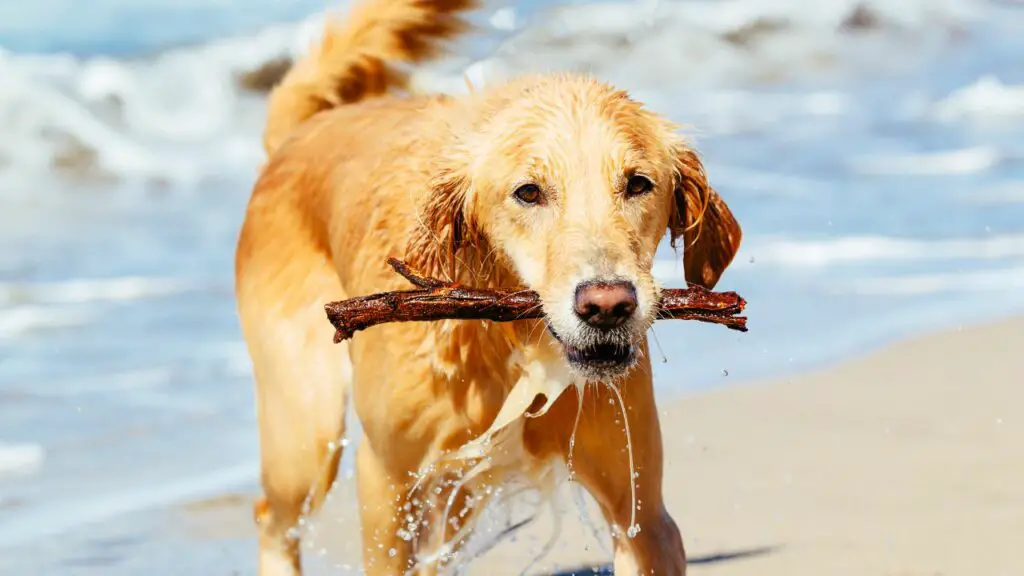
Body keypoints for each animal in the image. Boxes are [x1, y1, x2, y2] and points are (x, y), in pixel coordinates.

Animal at [234, 0, 741, 569]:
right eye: (528, 192)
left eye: (638, 184)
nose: (607, 305)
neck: (509, 345)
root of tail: (299, 132)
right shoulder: (386, 482)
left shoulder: (643, 518)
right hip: (305, 431)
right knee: (272, 517)